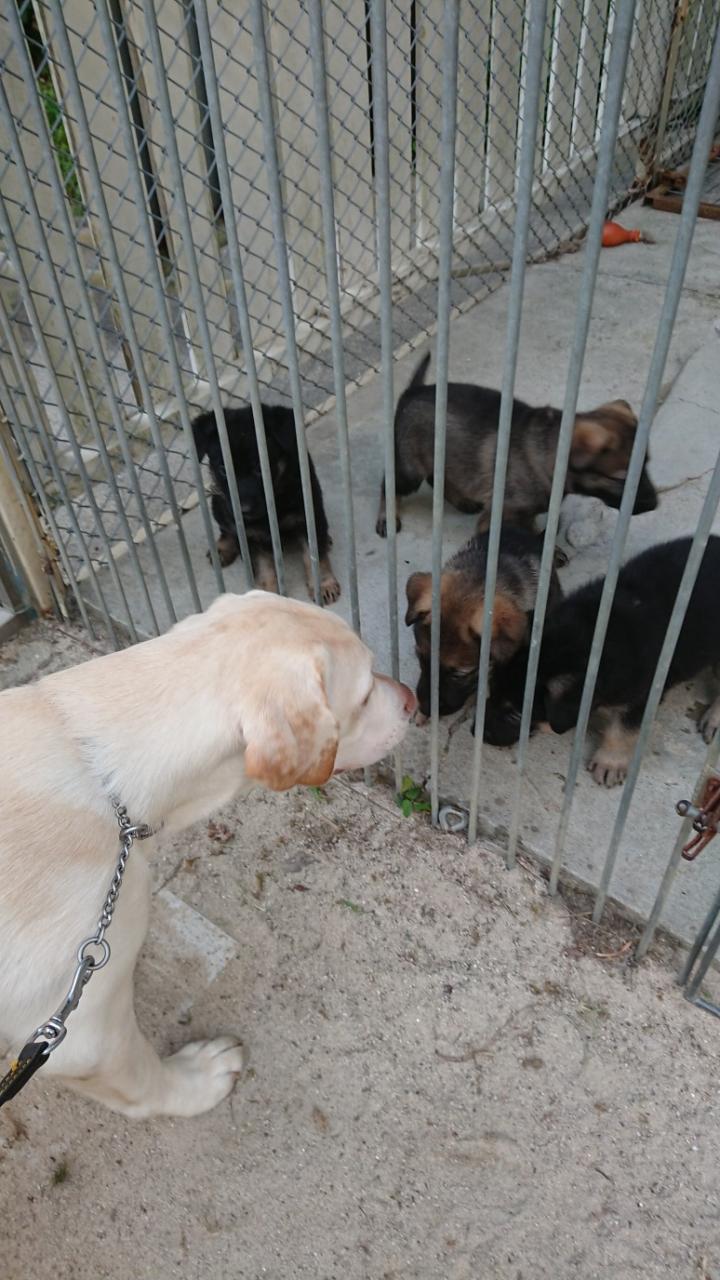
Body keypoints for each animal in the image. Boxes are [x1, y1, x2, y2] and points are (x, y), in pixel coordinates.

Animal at [0, 593, 415, 1117]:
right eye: (362, 697)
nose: (414, 700)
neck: (103, 774)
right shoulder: (78, 1031)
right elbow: (144, 1084)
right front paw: (198, 1080)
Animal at [192, 404, 341, 605]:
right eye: (223, 470)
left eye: (260, 468)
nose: (244, 510)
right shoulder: (249, 535)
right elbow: (263, 567)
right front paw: (266, 595)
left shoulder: (308, 516)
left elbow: (314, 556)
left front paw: (323, 584)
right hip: (218, 503)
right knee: (226, 528)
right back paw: (222, 549)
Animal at [376, 353, 657, 537]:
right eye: (620, 478)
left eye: (646, 464)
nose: (655, 505)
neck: (549, 454)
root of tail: (413, 391)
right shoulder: (505, 514)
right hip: (411, 468)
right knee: (390, 484)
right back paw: (387, 518)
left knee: (437, 478)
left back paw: (462, 500)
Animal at [485, 536, 720, 784]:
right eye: (491, 691)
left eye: (517, 715)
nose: (476, 732)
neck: (589, 639)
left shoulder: (643, 695)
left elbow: (623, 730)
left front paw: (610, 762)